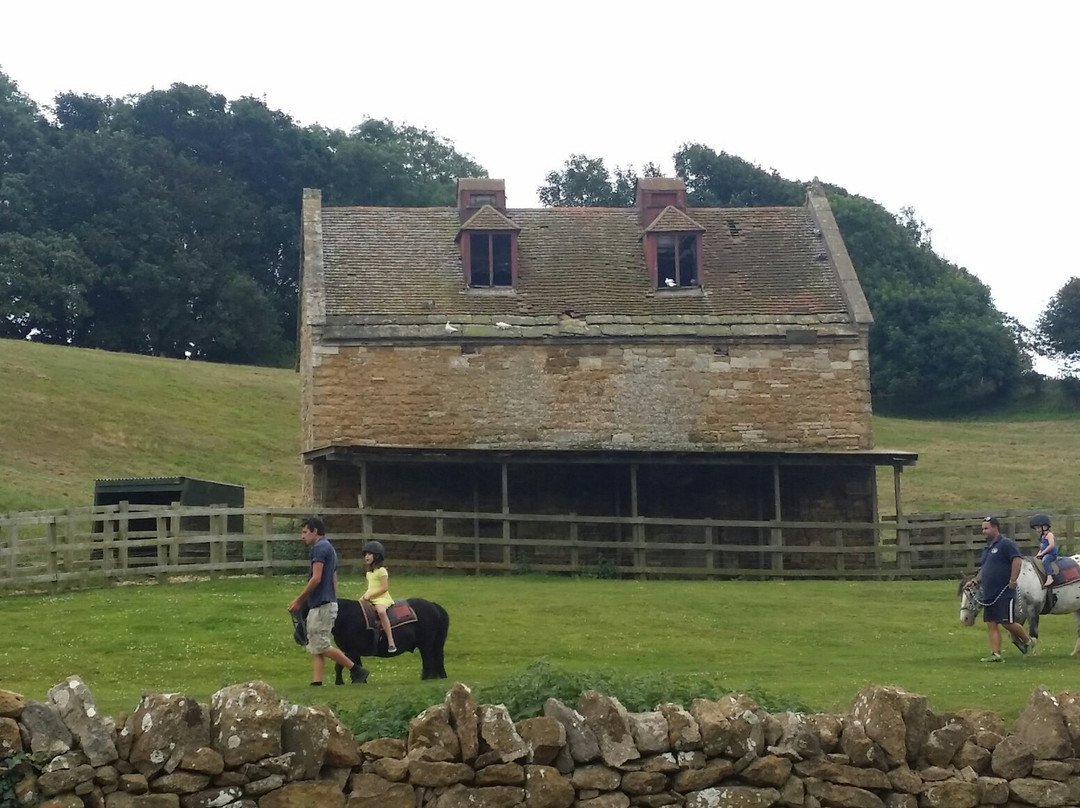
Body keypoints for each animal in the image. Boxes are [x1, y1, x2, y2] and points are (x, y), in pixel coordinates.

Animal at [291, 600, 447, 682]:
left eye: (305, 617)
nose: (296, 637)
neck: (346, 617)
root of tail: (434, 606)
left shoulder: (351, 651)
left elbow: (341, 666)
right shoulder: (352, 652)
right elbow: (352, 665)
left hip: (425, 645)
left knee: (428, 661)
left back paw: (425, 678)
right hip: (434, 645)